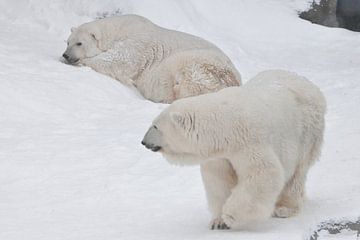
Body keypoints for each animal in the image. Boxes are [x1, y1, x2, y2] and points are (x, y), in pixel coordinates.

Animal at [62, 14, 242, 102]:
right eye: (67, 41)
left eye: (79, 43)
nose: (66, 55)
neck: (120, 28)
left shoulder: (138, 42)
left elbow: (120, 60)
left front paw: (85, 62)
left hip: (200, 64)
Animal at [142, 70, 328, 230]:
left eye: (156, 126)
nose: (143, 142)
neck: (225, 127)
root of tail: (309, 83)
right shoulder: (220, 154)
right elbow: (219, 179)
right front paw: (218, 222)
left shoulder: (248, 142)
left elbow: (263, 172)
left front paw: (230, 216)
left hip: (306, 132)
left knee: (297, 173)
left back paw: (284, 208)